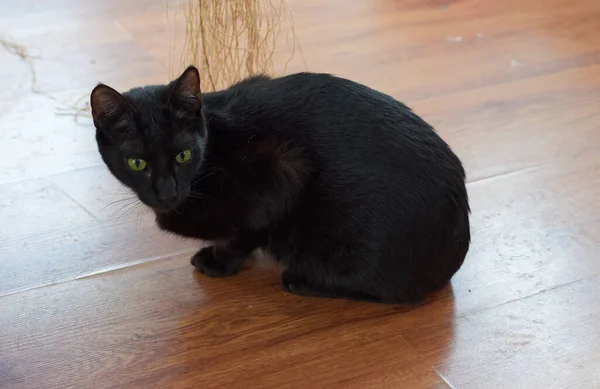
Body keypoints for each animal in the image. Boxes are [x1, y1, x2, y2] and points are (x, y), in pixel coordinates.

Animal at [91, 66, 472, 304]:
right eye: (137, 163)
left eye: (183, 155)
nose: (167, 192)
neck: (214, 150)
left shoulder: (281, 171)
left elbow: (244, 232)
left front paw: (218, 262)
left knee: (396, 295)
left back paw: (302, 280)